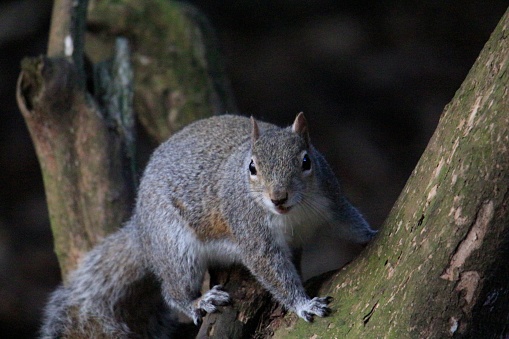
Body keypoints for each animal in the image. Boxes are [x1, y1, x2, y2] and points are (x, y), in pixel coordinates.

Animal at [39, 113, 376, 338]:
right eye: (252, 167)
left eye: (306, 161)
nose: (278, 198)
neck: (294, 213)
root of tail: (141, 230)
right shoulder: (251, 231)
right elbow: (272, 271)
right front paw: (303, 304)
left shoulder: (332, 203)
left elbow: (350, 224)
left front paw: (372, 236)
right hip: (175, 246)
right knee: (173, 290)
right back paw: (197, 301)